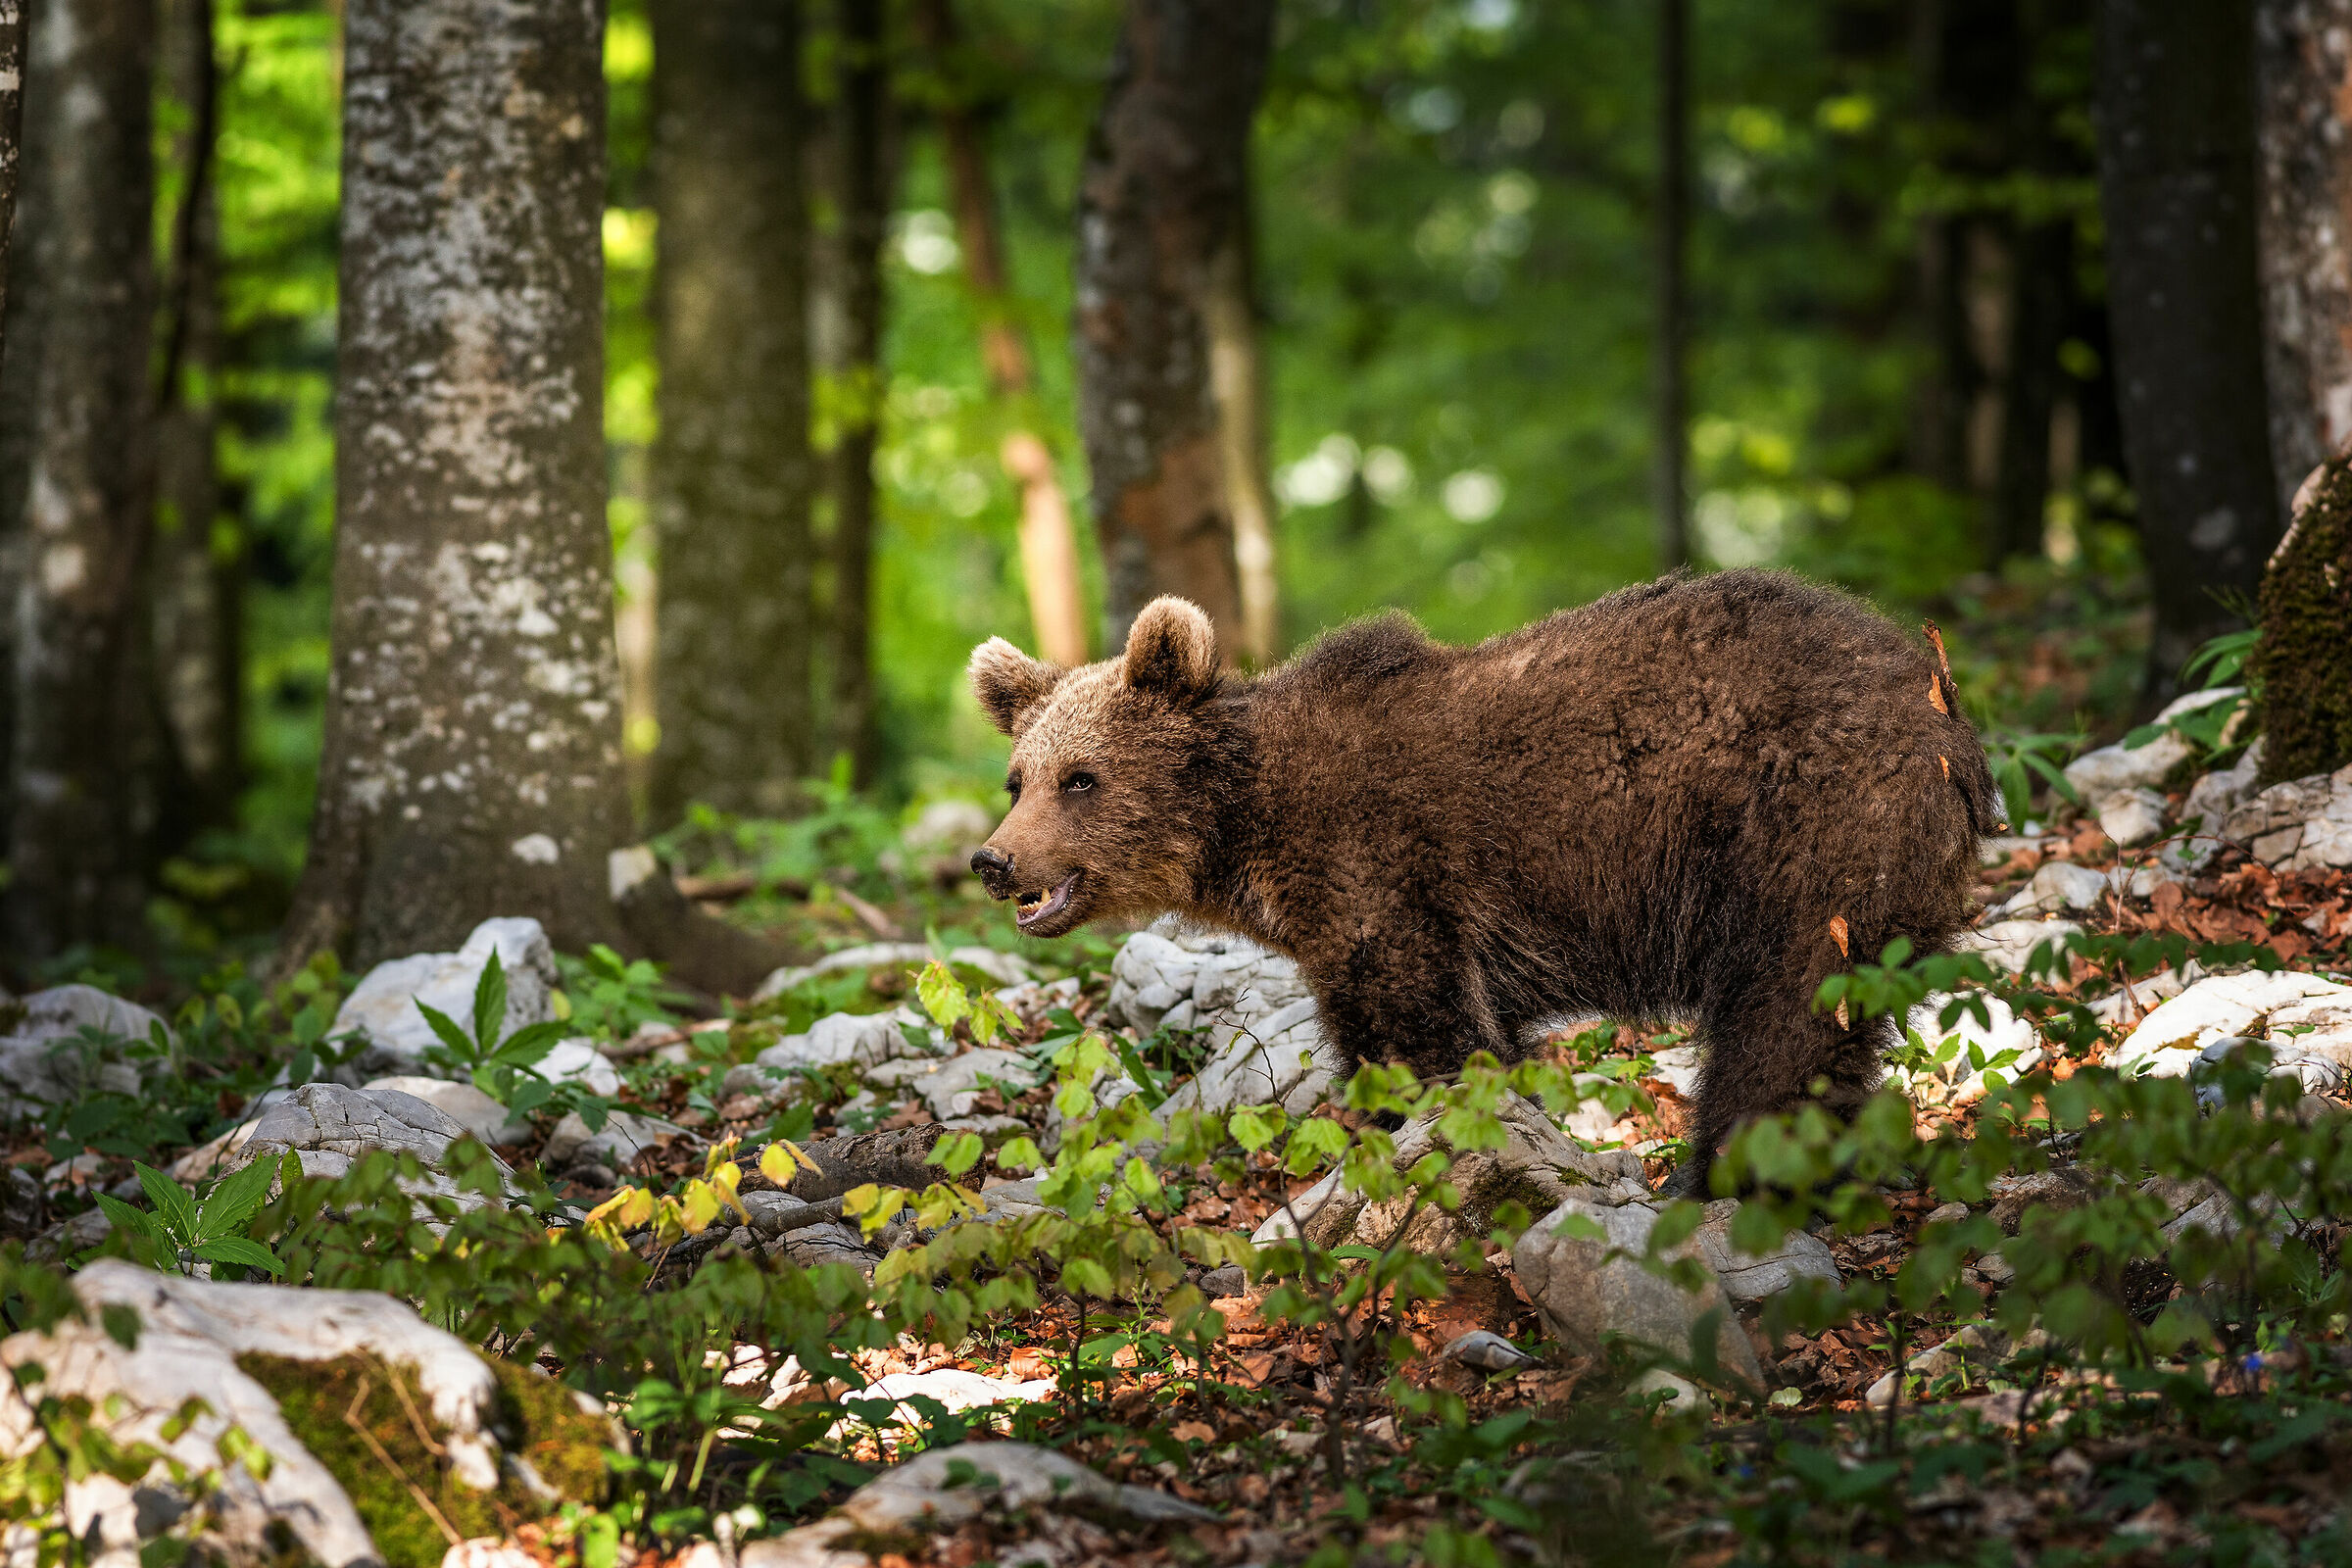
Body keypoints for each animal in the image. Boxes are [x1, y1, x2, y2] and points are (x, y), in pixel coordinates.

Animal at [966, 569, 2001, 1194]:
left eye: (1081, 778)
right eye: (1018, 778)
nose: (994, 860)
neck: (1249, 827)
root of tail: (1943, 706)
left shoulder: (1383, 873)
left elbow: (1421, 1033)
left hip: (1804, 824)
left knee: (1785, 1007)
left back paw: (1721, 1169)